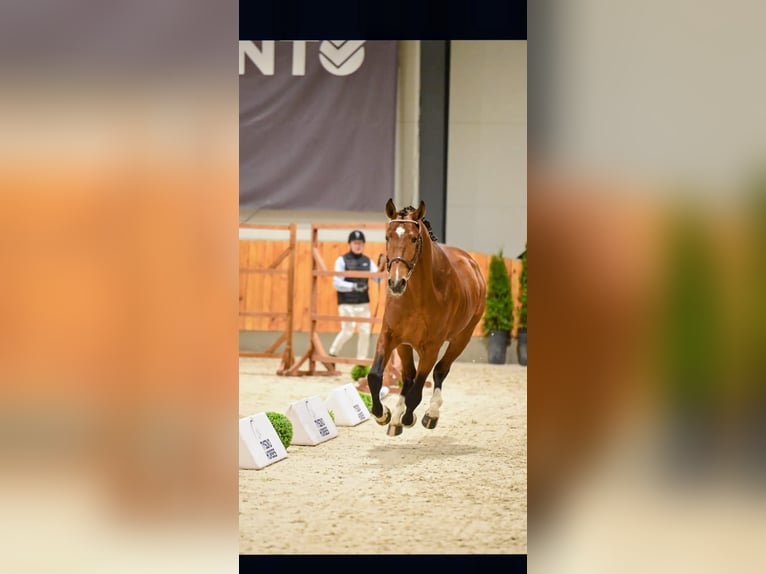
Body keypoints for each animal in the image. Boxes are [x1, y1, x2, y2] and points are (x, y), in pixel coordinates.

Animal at [367, 198, 487, 436]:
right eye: (387, 237)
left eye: (414, 238)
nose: (396, 283)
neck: (418, 295)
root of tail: (471, 262)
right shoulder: (390, 336)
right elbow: (376, 376)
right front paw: (383, 415)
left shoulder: (430, 348)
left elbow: (417, 390)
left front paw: (409, 417)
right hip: (405, 345)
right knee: (408, 377)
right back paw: (395, 419)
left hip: (461, 338)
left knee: (440, 371)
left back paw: (431, 414)